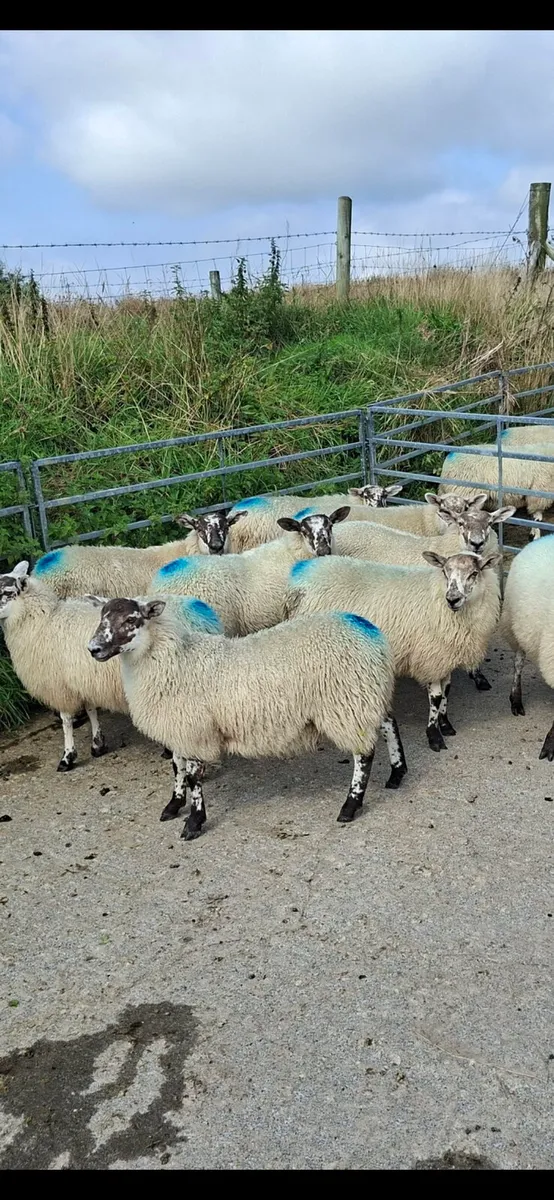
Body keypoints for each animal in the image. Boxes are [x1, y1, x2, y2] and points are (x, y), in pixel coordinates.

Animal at [0, 561, 224, 775]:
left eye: (6, 592)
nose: (93, 649)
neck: (41, 620)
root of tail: (202, 615)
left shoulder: (59, 686)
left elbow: (66, 720)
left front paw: (67, 757)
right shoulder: (84, 680)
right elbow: (91, 709)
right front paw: (97, 744)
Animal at [88, 598, 408, 840]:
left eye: (131, 620)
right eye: (102, 617)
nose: (93, 649)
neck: (173, 660)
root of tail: (367, 629)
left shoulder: (195, 731)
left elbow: (192, 777)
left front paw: (194, 822)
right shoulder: (178, 728)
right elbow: (176, 768)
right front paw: (174, 804)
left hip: (346, 703)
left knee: (364, 754)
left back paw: (351, 805)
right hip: (364, 696)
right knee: (388, 723)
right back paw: (397, 772)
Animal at [284, 549, 502, 752]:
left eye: (474, 573)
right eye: (445, 572)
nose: (452, 599)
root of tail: (299, 577)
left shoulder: (445, 656)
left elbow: (447, 690)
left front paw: (445, 724)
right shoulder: (429, 655)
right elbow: (437, 697)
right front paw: (434, 735)